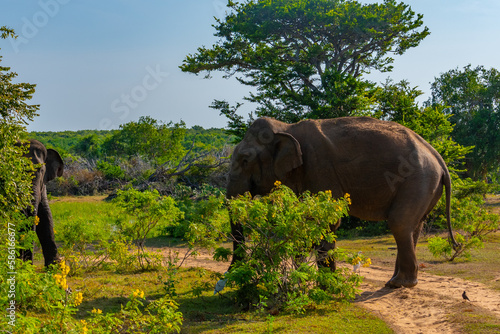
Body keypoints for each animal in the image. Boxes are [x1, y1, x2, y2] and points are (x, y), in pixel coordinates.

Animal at [225, 117, 458, 288]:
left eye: (245, 160)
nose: (229, 276)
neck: (286, 127)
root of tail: (438, 157)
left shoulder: (319, 167)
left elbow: (326, 221)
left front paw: (325, 284)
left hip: (418, 179)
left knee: (399, 223)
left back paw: (400, 284)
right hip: (426, 185)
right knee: (413, 226)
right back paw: (394, 282)